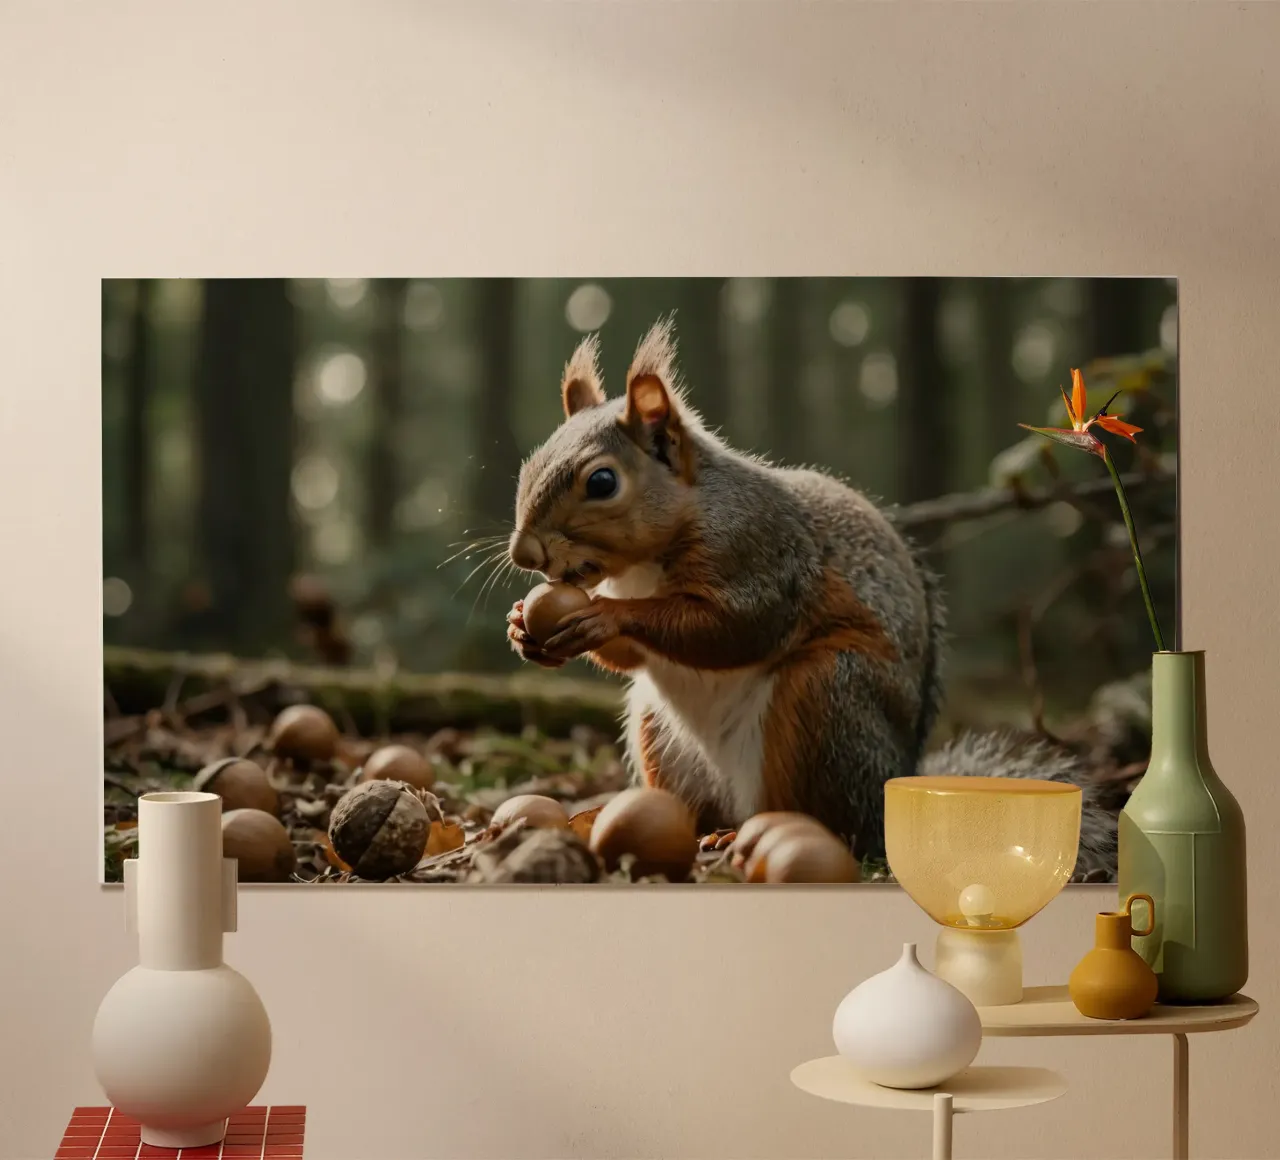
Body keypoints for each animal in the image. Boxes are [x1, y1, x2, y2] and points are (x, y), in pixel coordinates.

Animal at [505, 317, 1117, 880]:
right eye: (528, 464)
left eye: (602, 482)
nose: (524, 553)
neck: (642, 567)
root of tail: (890, 788)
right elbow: (634, 658)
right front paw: (521, 628)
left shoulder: (763, 555)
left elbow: (731, 628)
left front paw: (606, 616)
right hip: (662, 733)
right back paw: (699, 832)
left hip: (825, 699)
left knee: (833, 820)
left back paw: (761, 837)